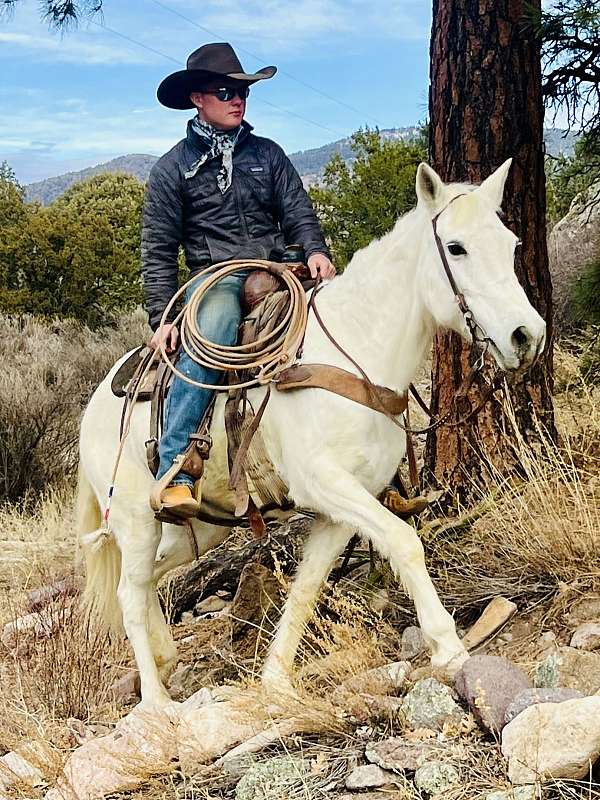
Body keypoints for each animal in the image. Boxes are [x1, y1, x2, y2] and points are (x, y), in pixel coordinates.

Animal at [77, 161, 548, 708]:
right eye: (456, 247)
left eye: (510, 244)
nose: (526, 336)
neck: (357, 350)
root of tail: (92, 407)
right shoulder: (325, 483)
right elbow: (404, 540)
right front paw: (448, 648)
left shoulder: (341, 508)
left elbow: (306, 587)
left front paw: (276, 681)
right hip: (134, 518)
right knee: (128, 594)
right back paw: (154, 700)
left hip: (199, 526)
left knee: (146, 578)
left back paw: (166, 657)